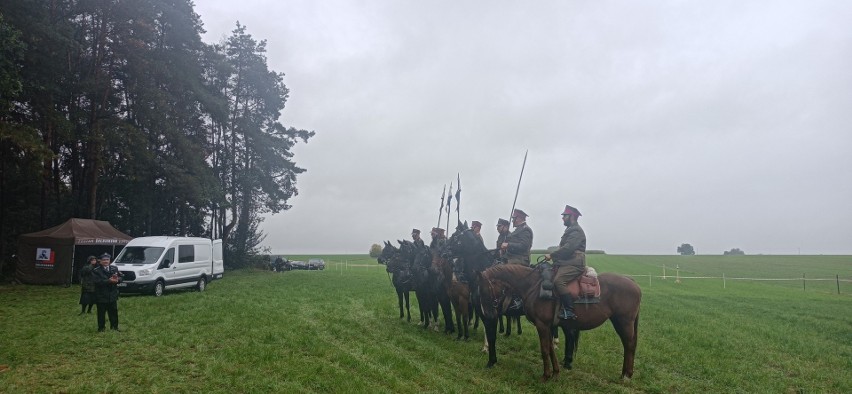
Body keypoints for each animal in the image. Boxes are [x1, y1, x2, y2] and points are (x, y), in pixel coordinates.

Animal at [476, 264, 644, 382]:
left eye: (484, 290)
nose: (488, 315)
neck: (532, 285)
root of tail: (632, 281)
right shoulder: (548, 326)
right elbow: (551, 348)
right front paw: (555, 373)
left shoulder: (542, 325)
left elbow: (544, 349)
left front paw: (545, 376)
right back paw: (624, 373)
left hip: (623, 322)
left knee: (629, 345)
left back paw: (627, 375)